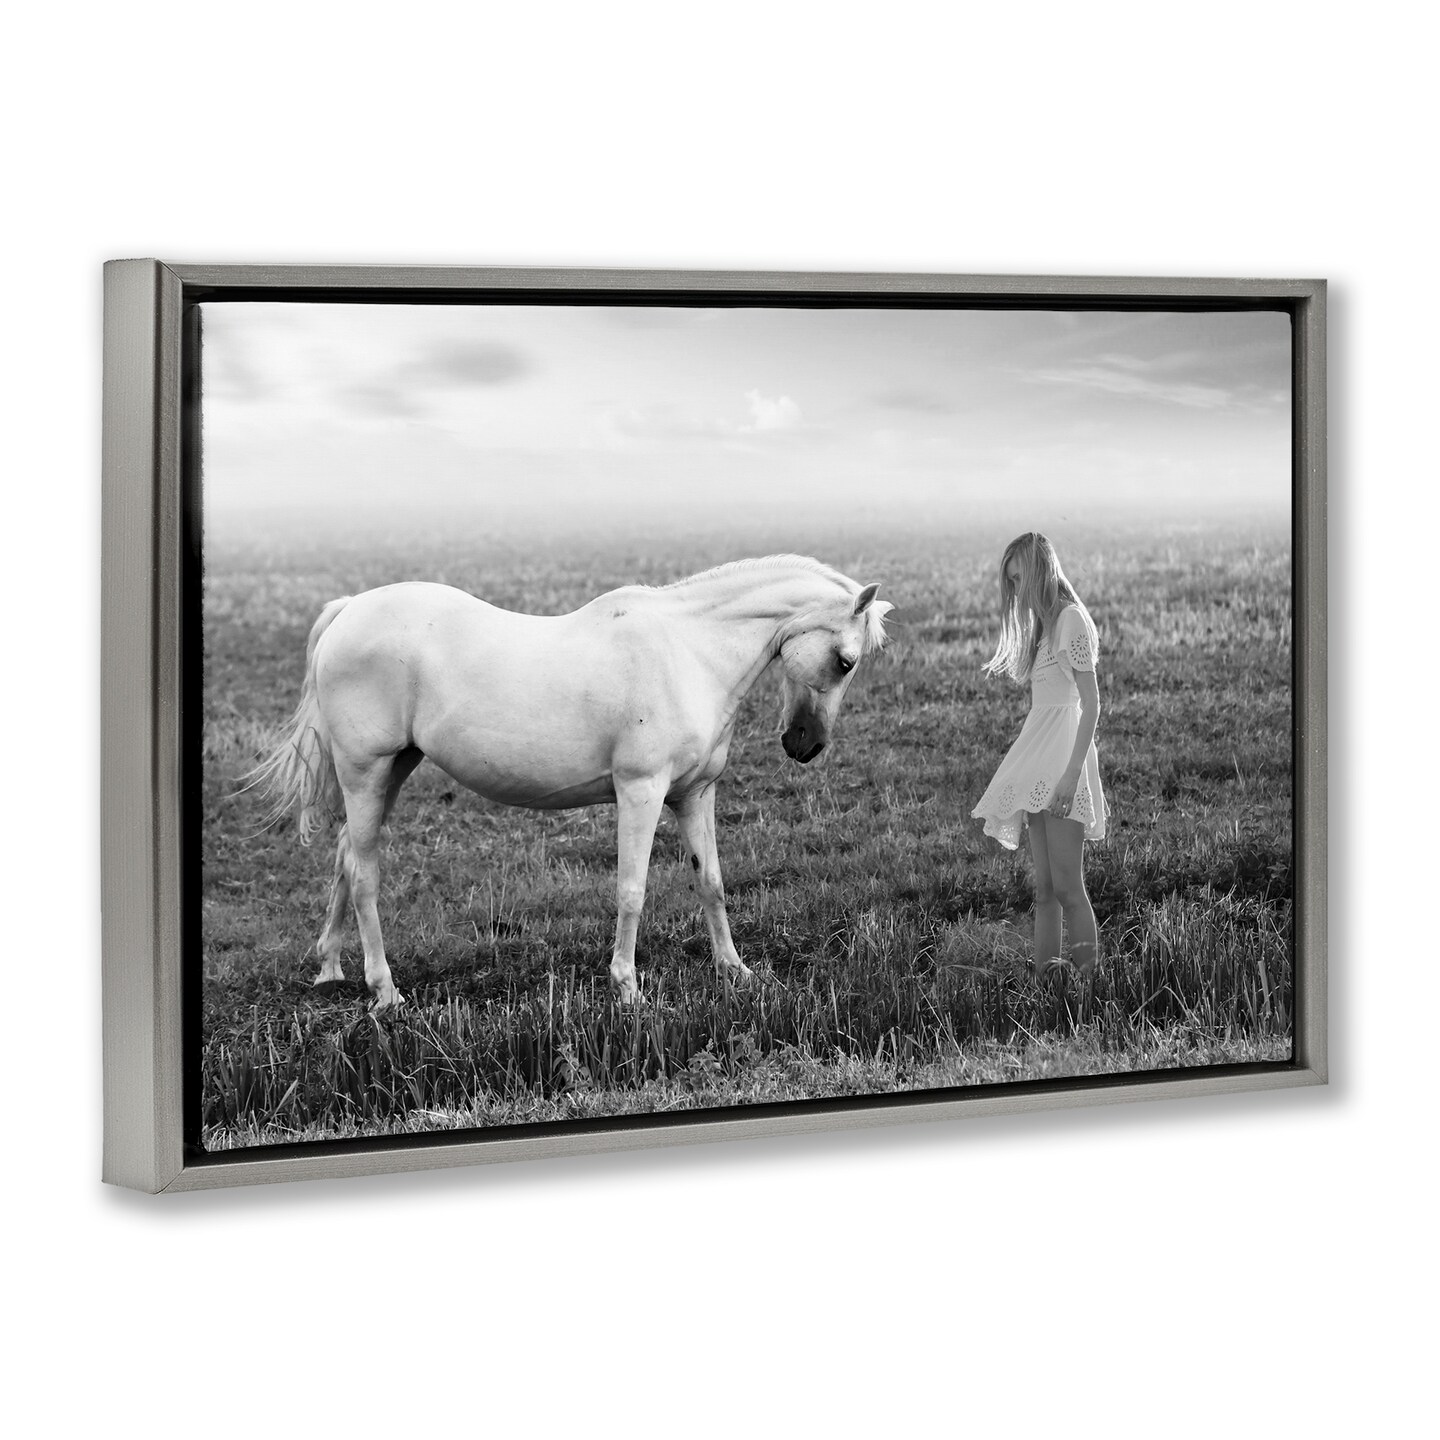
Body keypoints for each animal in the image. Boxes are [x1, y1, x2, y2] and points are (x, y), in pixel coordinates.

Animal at [247, 554, 893, 1010]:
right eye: (845, 661)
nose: (805, 746)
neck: (688, 652)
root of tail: (349, 610)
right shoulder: (641, 792)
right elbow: (632, 890)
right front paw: (628, 988)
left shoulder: (693, 795)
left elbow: (710, 882)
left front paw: (735, 971)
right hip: (366, 772)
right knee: (363, 876)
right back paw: (384, 991)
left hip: (393, 770)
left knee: (345, 857)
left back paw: (331, 968)